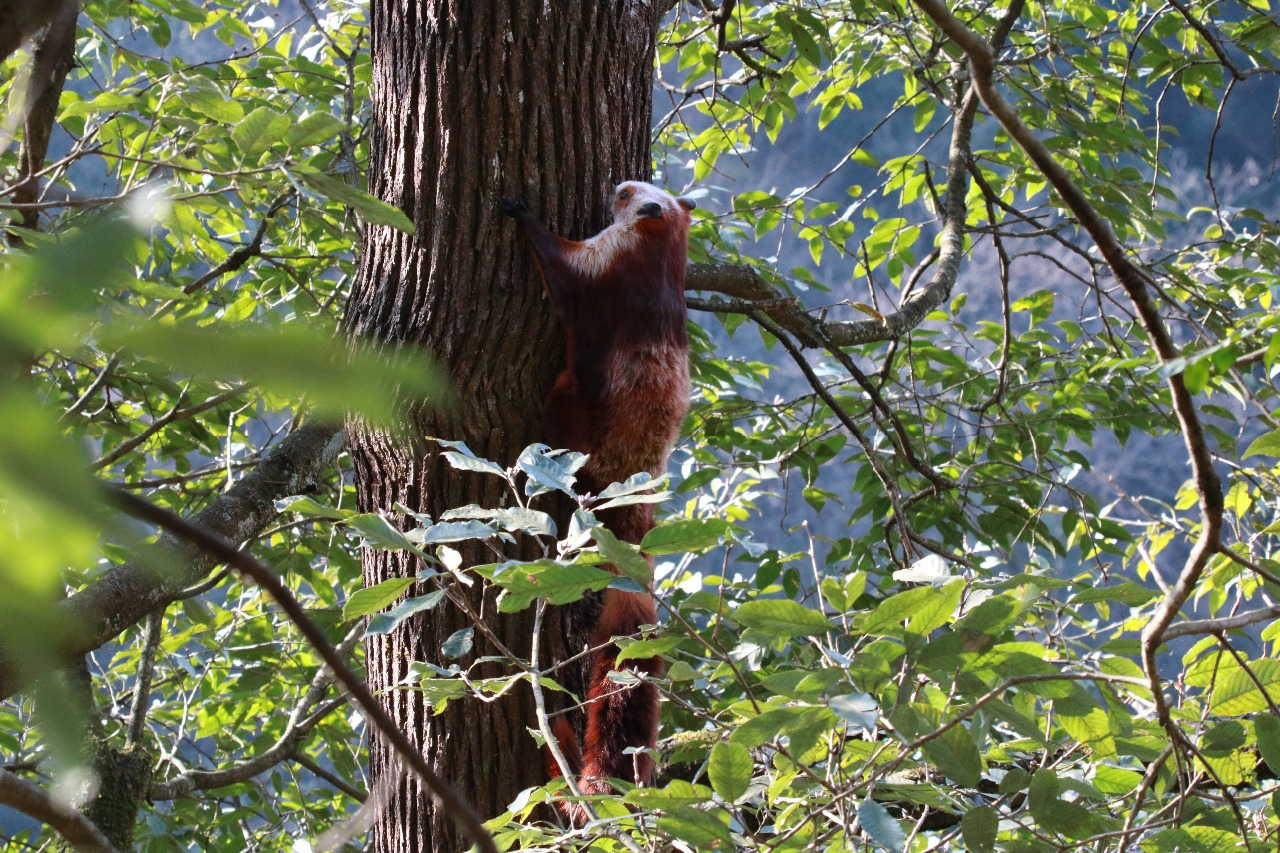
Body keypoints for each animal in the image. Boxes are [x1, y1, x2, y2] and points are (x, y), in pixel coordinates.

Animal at [501, 183, 701, 819]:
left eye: (634, 193)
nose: (620, 186)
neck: (661, 258)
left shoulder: (599, 266)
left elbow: (562, 269)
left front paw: (522, 214)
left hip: (569, 420)